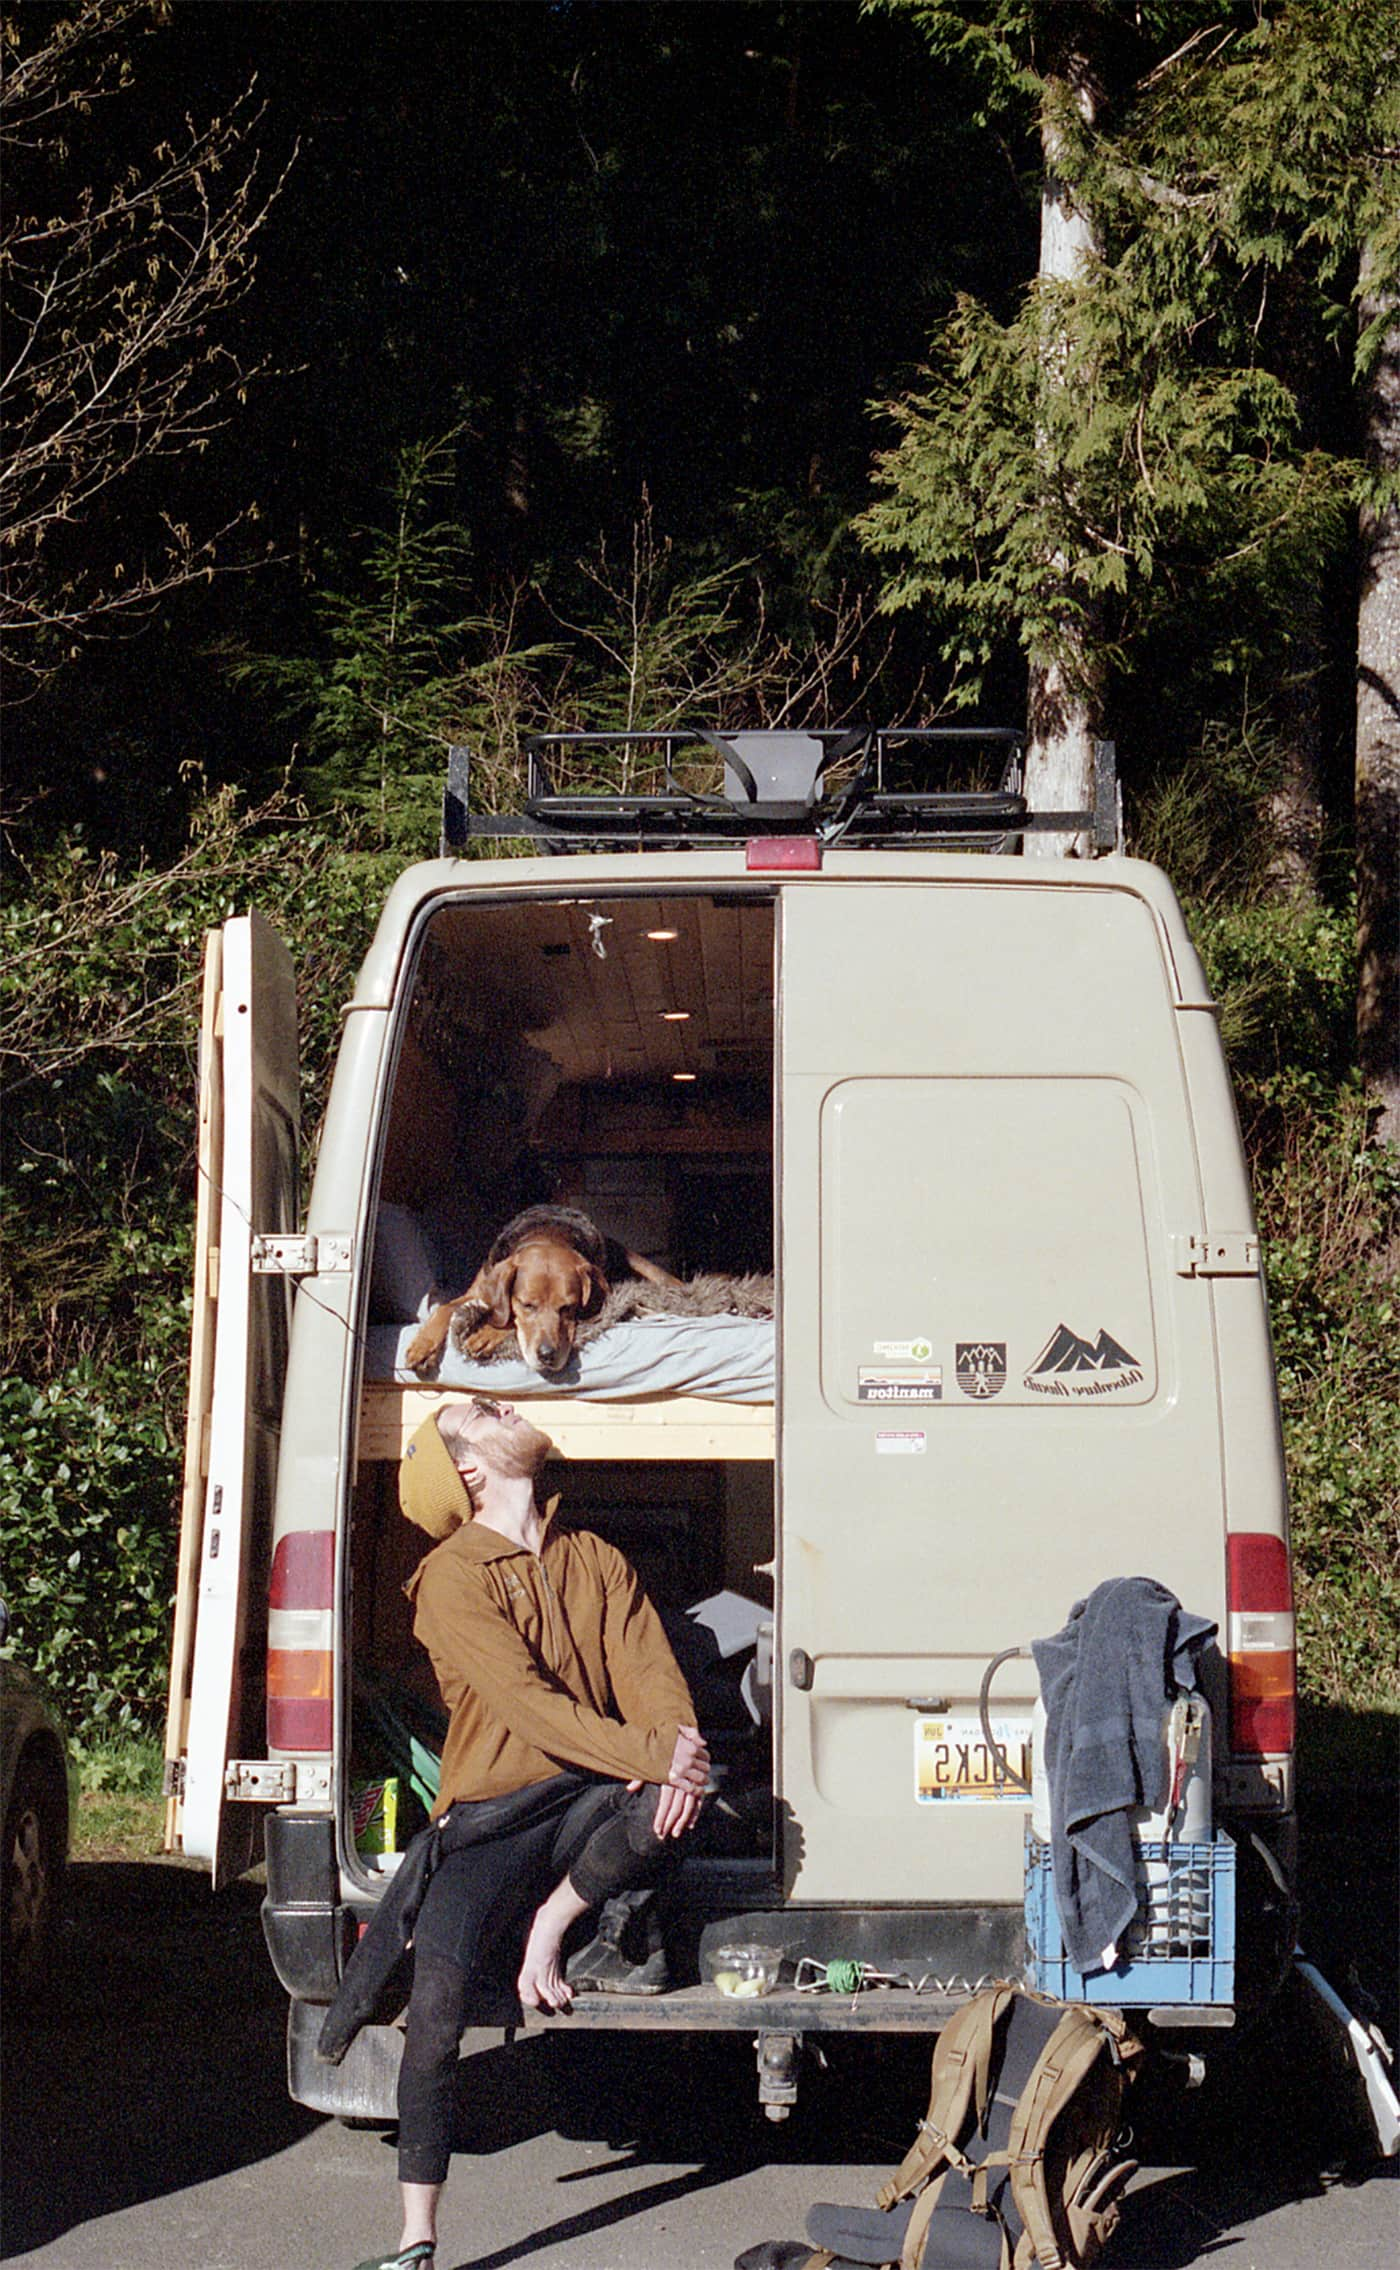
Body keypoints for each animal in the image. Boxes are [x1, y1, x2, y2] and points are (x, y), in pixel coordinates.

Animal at [403, 1207, 676, 1380]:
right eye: (527, 1305)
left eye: (568, 1308)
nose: (547, 1356)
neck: (548, 1235)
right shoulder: (478, 1290)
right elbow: (445, 1308)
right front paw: (423, 1346)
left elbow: (504, 1321)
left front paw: (487, 1333)